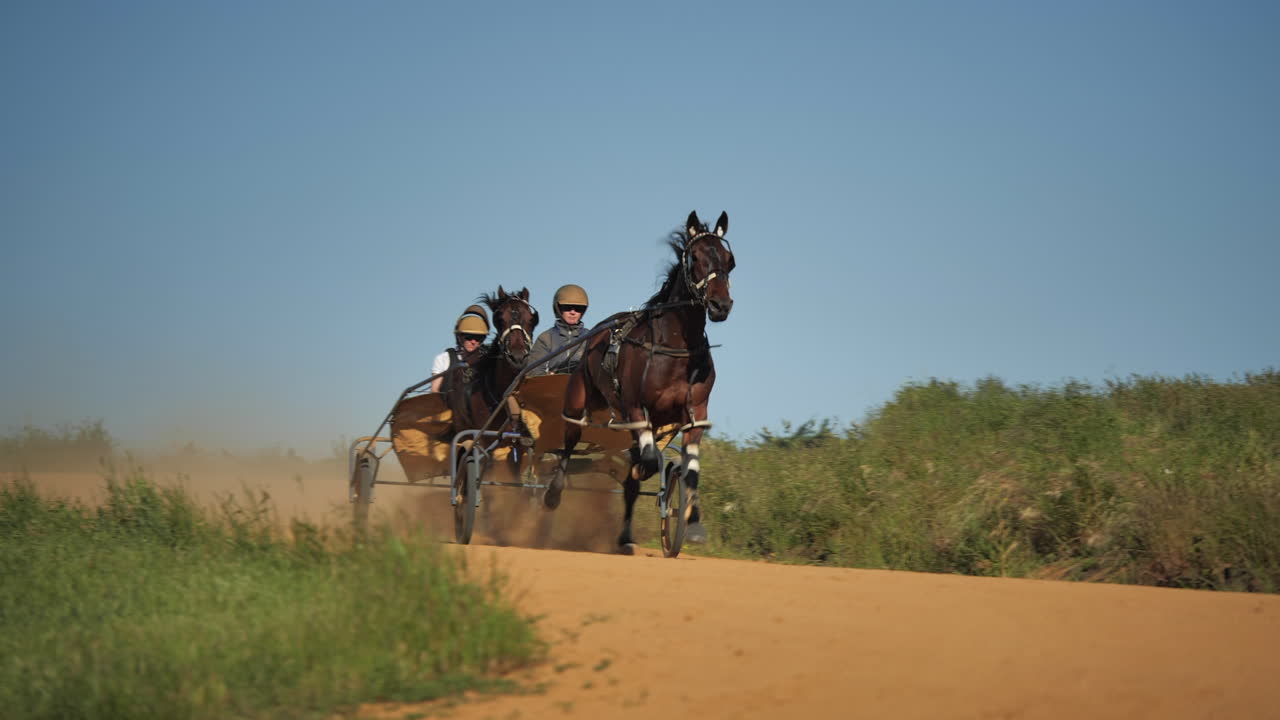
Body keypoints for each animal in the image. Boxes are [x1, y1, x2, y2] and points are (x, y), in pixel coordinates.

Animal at [544, 210, 735, 553]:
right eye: (696, 257)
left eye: (730, 260)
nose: (720, 305)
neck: (675, 351)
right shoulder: (635, 407)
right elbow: (646, 461)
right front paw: (642, 468)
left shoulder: (694, 414)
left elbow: (690, 471)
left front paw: (692, 524)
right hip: (579, 398)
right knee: (569, 440)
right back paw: (553, 492)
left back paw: (624, 535)